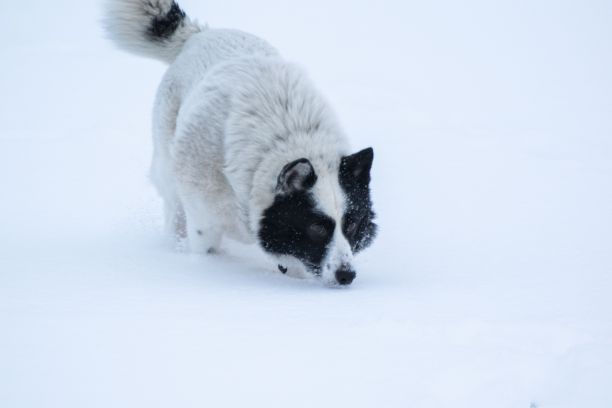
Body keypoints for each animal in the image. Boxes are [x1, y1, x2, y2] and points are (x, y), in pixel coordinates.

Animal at [103, 0, 376, 284]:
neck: (287, 137)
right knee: (174, 206)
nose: (347, 276)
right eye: (317, 229)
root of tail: (198, 35)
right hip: (168, 168)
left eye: (352, 225)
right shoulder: (204, 223)